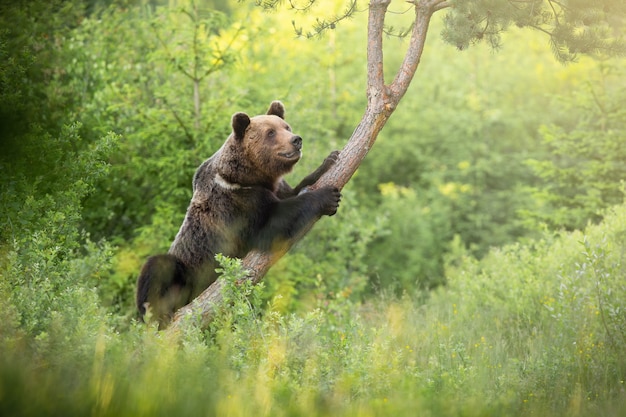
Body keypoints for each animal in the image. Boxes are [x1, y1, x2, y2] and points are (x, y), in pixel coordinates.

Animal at [137, 100, 342, 324]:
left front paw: (330, 160)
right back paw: (158, 315)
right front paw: (327, 196)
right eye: (271, 133)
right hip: (188, 269)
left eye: (286, 127)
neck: (247, 177)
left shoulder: (274, 188)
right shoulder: (235, 206)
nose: (296, 140)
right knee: (158, 267)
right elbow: (271, 226)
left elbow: (295, 191)